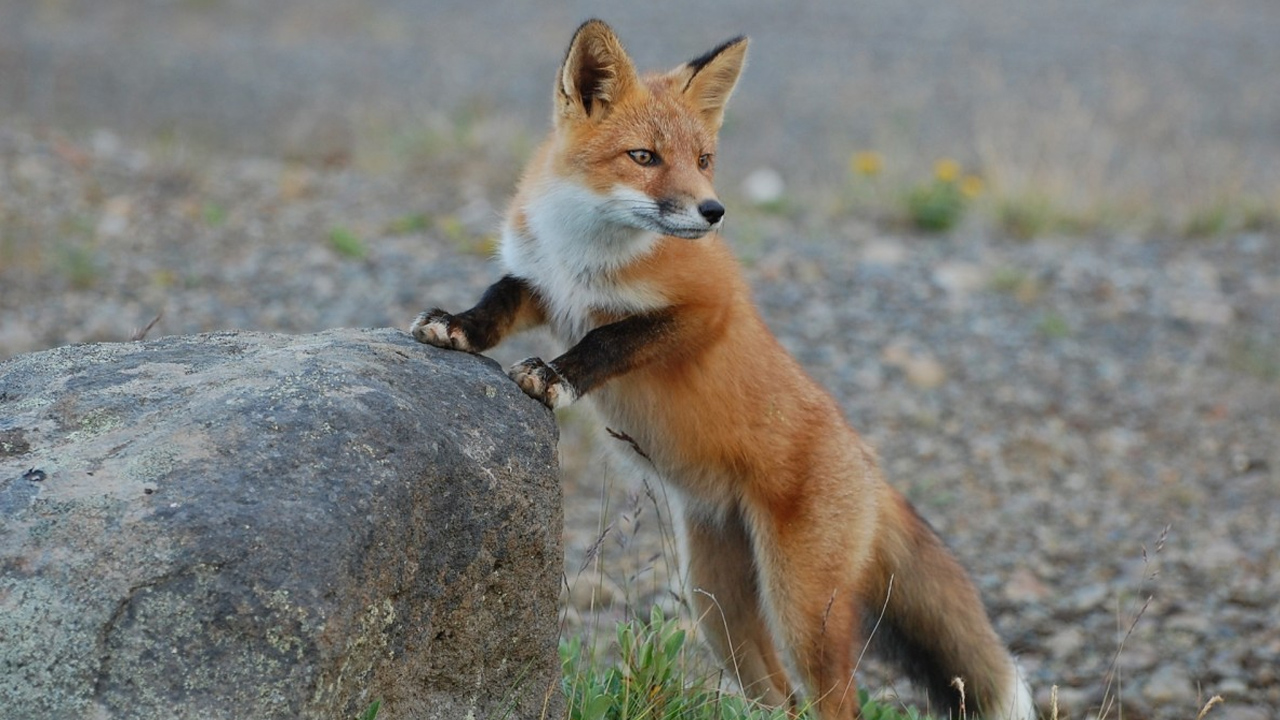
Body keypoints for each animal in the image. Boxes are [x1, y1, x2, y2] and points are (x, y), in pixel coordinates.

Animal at [414, 18, 1034, 717]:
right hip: (718, 609)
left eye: (704, 160)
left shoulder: (706, 308)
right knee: (781, 699)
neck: (586, 255)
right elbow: (496, 301)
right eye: (645, 157)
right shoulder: (542, 283)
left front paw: (556, 376)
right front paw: (456, 327)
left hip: (802, 611)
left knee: (831, 700)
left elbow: (609, 339)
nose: (713, 212)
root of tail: (870, 468)